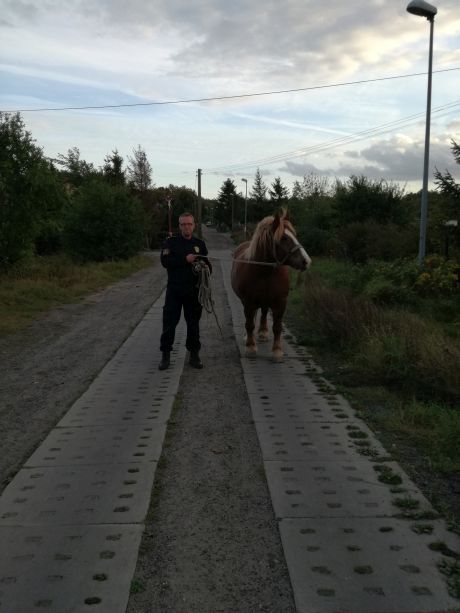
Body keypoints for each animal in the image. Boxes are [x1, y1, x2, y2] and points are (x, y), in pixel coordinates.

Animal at [232, 209, 310, 358]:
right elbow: (249, 323)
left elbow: (277, 327)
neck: (264, 272)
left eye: (295, 235)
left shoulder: (281, 302)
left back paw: (263, 332)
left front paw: (277, 350)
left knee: (263, 312)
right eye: (284, 238)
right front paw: (250, 346)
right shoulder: (248, 302)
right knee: (252, 317)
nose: (306, 261)